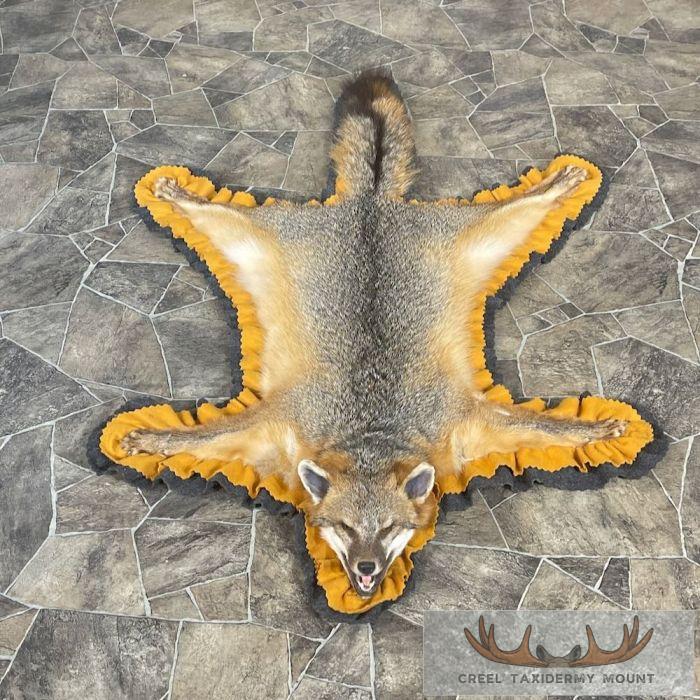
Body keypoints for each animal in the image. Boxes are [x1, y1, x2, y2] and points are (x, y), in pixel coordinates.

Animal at [121, 71, 626, 598]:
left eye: (388, 529)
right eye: (345, 527)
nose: (366, 569)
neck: (370, 429)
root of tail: (372, 204)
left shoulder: (463, 424)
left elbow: (549, 429)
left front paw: (593, 430)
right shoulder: (277, 426)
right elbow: (203, 437)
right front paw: (154, 440)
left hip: (484, 238)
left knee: (525, 202)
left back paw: (563, 180)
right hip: (251, 239)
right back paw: (176, 193)